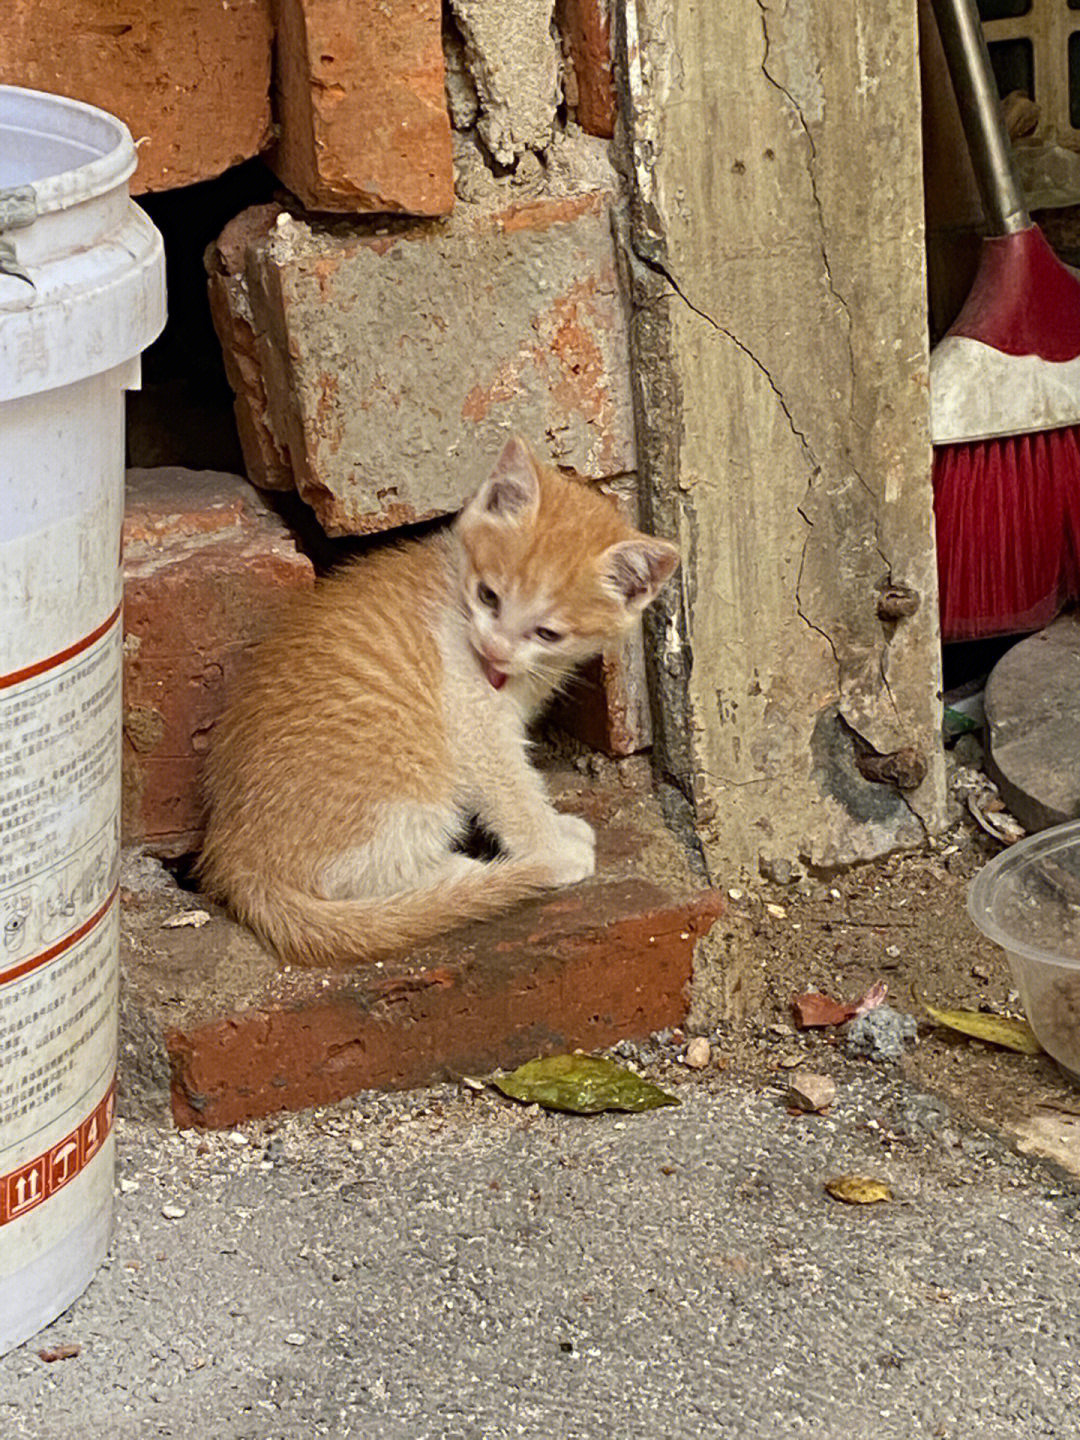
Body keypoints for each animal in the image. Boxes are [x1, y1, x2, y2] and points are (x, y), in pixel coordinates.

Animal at [198, 432, 679, 961]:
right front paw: (551, 847)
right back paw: (465, 876)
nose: (494, 648)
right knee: (350, 877)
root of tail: (239, 857)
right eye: (488, 596)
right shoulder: (475, 726)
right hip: (407, 782)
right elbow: (513, 792)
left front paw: (557, 827)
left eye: (547, 633)